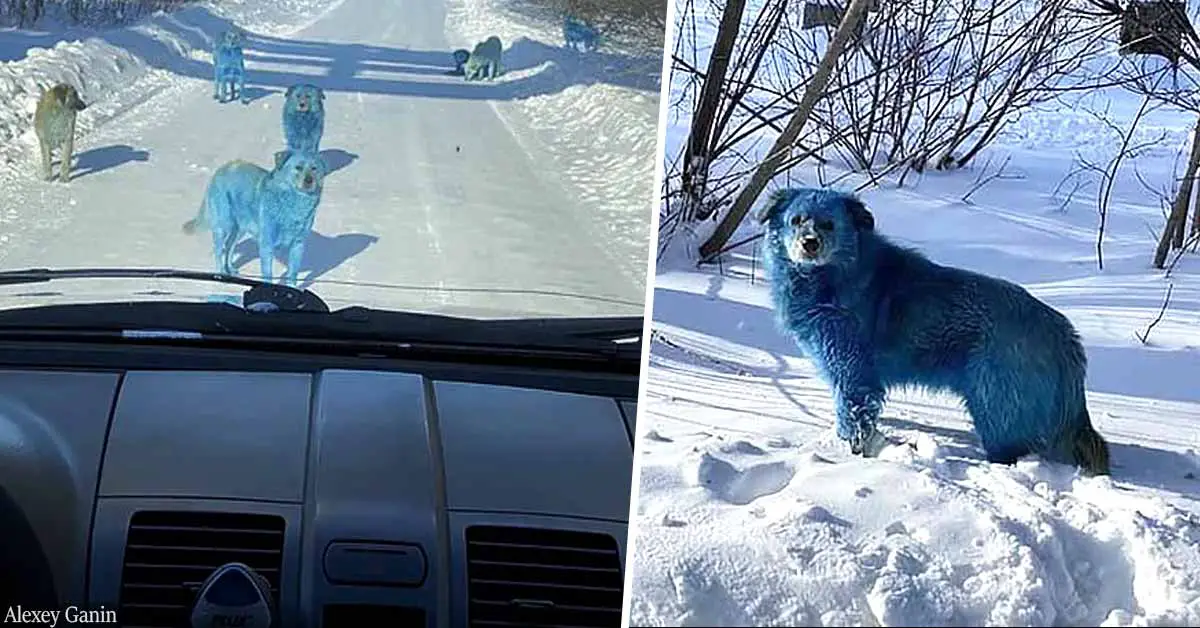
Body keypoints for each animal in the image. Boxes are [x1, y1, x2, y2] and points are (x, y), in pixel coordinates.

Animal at [182, 150, 326, 286]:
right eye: (298, 167)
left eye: (314, 168)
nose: (309, 180)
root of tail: (222, 168)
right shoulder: (267, 244)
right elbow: (268, 274)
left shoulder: (298, 244)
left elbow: (293, 273)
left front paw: (293, 289)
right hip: (223, 226)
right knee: (218, 251)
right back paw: (221, 275)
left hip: (239, 230)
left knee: (229, 247)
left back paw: (230, 271)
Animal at [763, 187, 1108, 477]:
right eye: (796, 220)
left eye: (829, 224)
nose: (809, 243)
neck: (836, 275)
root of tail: (1063, 335)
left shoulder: (852, 371)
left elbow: (853, 414)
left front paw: (851, 453)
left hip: (994, 407)